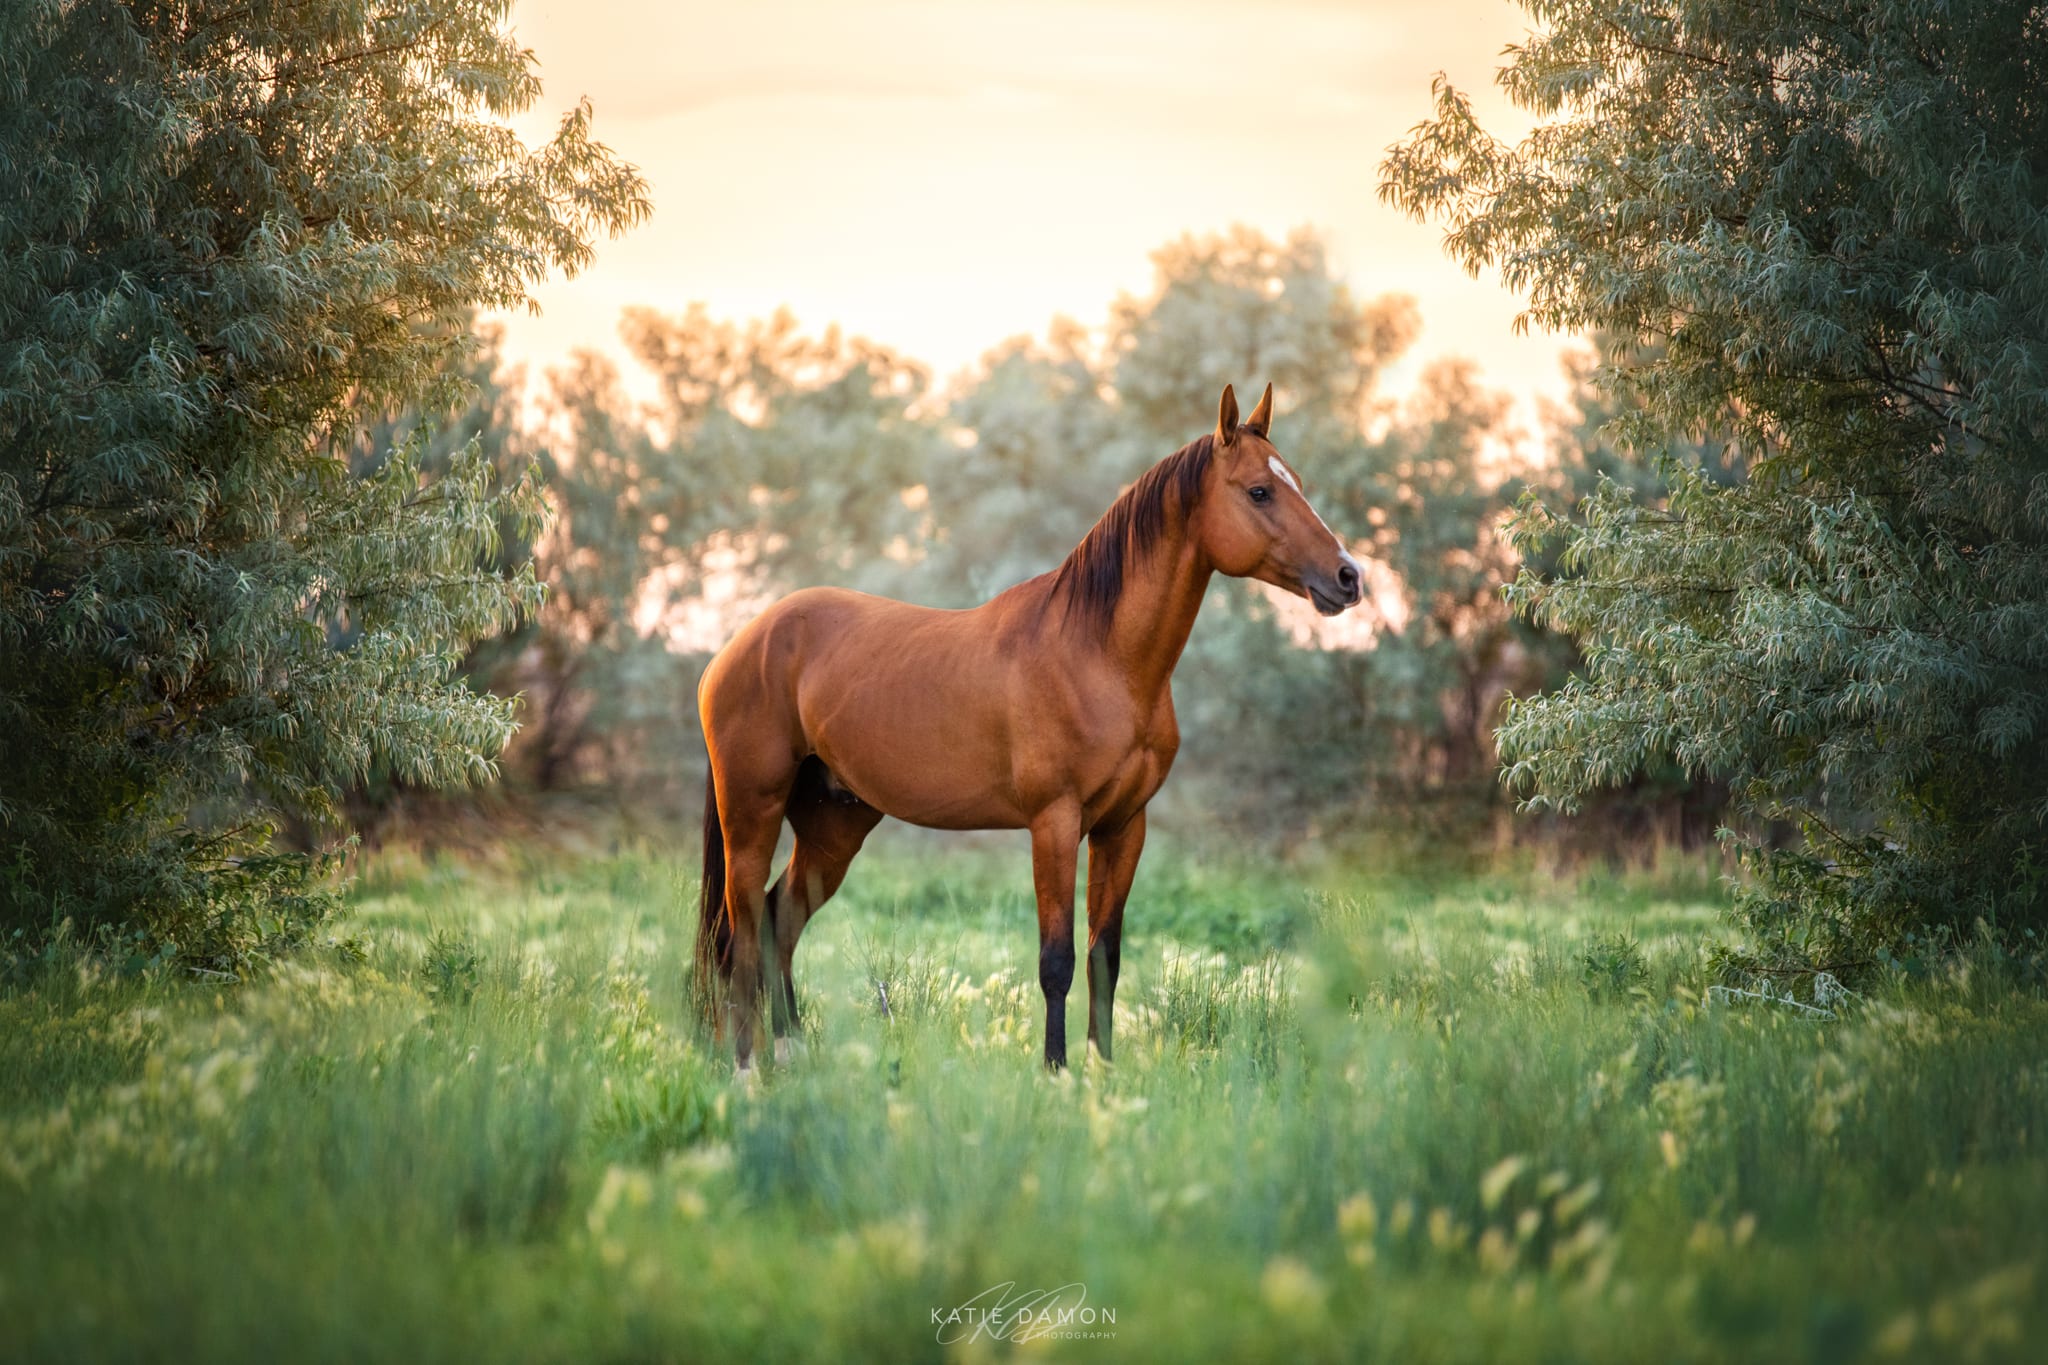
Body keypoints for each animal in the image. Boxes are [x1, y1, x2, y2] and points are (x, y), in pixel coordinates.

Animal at [695, 382, 1363, 1072]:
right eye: (1259, 491)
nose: (1349, 577)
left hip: (834, 825)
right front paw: (1056, 1072)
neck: (1099, 655)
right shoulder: (1055, 823)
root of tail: (737, 647)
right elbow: (1057, 960)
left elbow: (1104, 955)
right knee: (741, 930)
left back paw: (790, 1056)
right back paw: (747, 1068)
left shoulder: (1124, 826)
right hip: (752, 812)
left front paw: (1101, 1071)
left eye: (1296, 482)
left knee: (779, 919)